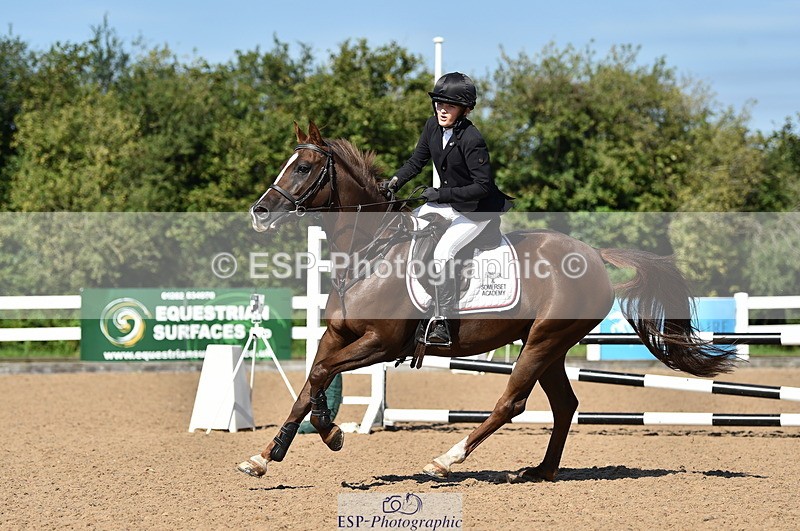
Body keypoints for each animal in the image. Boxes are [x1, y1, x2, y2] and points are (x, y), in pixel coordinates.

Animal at [238, 121, 736, 482]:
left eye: (303, 169)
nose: (258, 213)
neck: (370, 252)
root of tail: (593, 255)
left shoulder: (382, 342)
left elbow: (322, 373)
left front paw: (330, 432)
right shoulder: (337, 334)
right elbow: (309, 383)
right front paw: (268, 455)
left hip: (543, 341)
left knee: (511, 402)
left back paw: (446, 460)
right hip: (549, 346)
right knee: (564, 404)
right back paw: (541, 471)